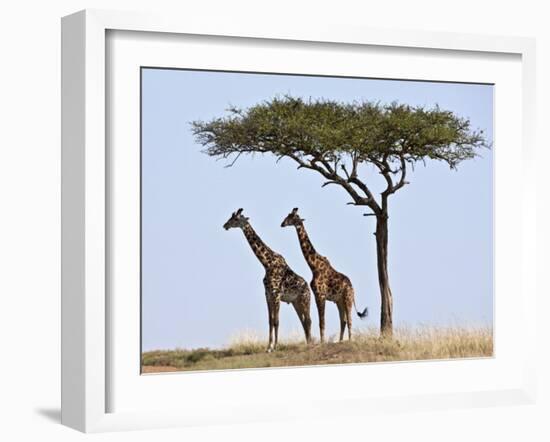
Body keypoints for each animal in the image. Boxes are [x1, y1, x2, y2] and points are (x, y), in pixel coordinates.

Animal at [223, 208, 310, 352]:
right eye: (230, 218)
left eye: (235, 219)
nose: (225, 226)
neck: (266, 263)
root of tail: (307, 286)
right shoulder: (268, 294)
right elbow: (270, 320)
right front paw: (268, 347)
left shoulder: (276, 294)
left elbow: (276, 321)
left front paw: (275, 346)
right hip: (295, 302)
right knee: (304, 321)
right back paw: (308, 342)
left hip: (305, 300)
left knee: (308, 320)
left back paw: (310, 343)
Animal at [282, 207, 368, 342]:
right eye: (287, 215)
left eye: (291, 217)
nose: (282, 224)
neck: (313, 266)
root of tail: (352, 287)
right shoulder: (318, 296)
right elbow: (321, 321)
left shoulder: (320, 295)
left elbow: (322, 322)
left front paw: (322, 342)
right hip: (339, 301)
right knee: (343, 320)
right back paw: (340, 341)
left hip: (347, 298)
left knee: (349, 320)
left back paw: (350, 340)